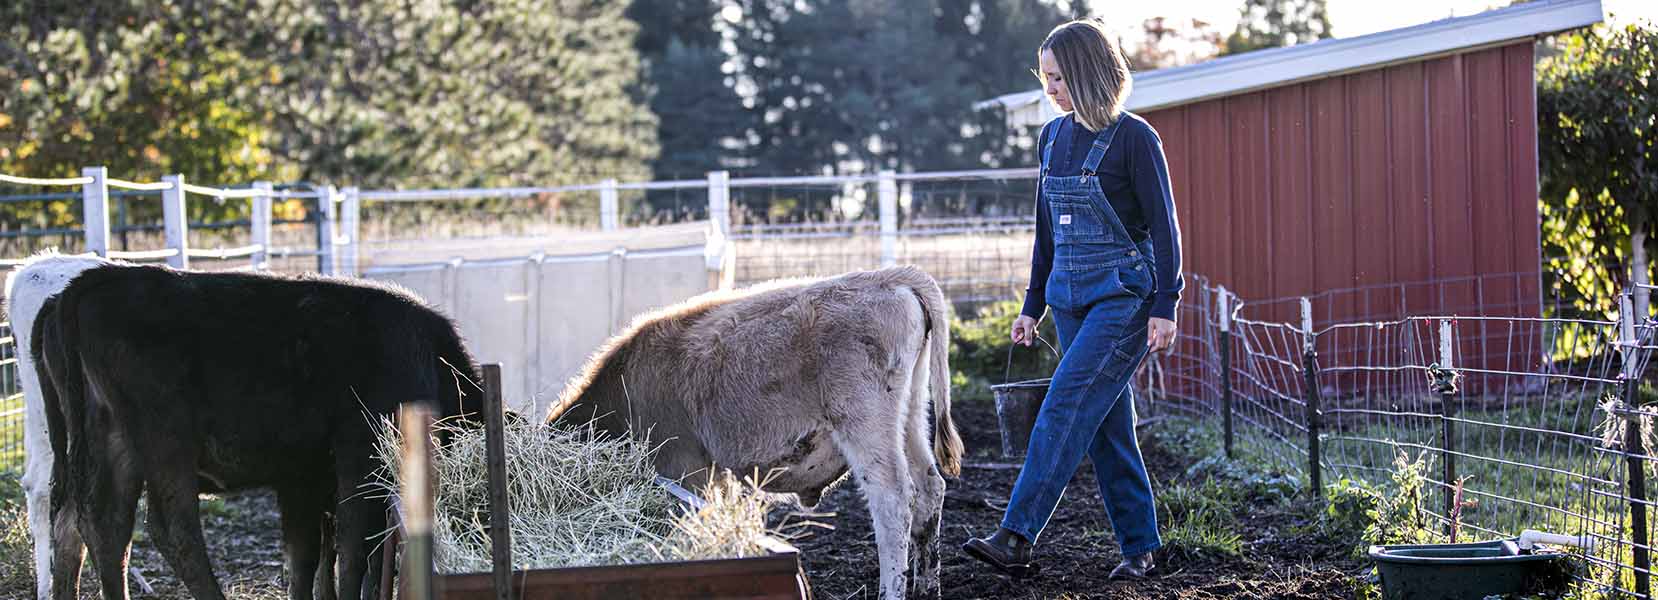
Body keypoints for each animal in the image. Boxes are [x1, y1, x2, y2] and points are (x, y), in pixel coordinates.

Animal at [32, 266, 484, 600]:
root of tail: (89, 283)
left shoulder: (304, 476)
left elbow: (310, 555)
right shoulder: (357, 455)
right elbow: (354, 547)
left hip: (106, 444)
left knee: (90, 525)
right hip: (164, 440)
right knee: (171, 528)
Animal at [547, 266, 961, 600]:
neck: (627, 383)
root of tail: (890, 277)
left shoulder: (684, 467)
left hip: (867, 427)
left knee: (893, 500)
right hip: (910, 418)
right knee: (929, 489)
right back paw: (929, 588)